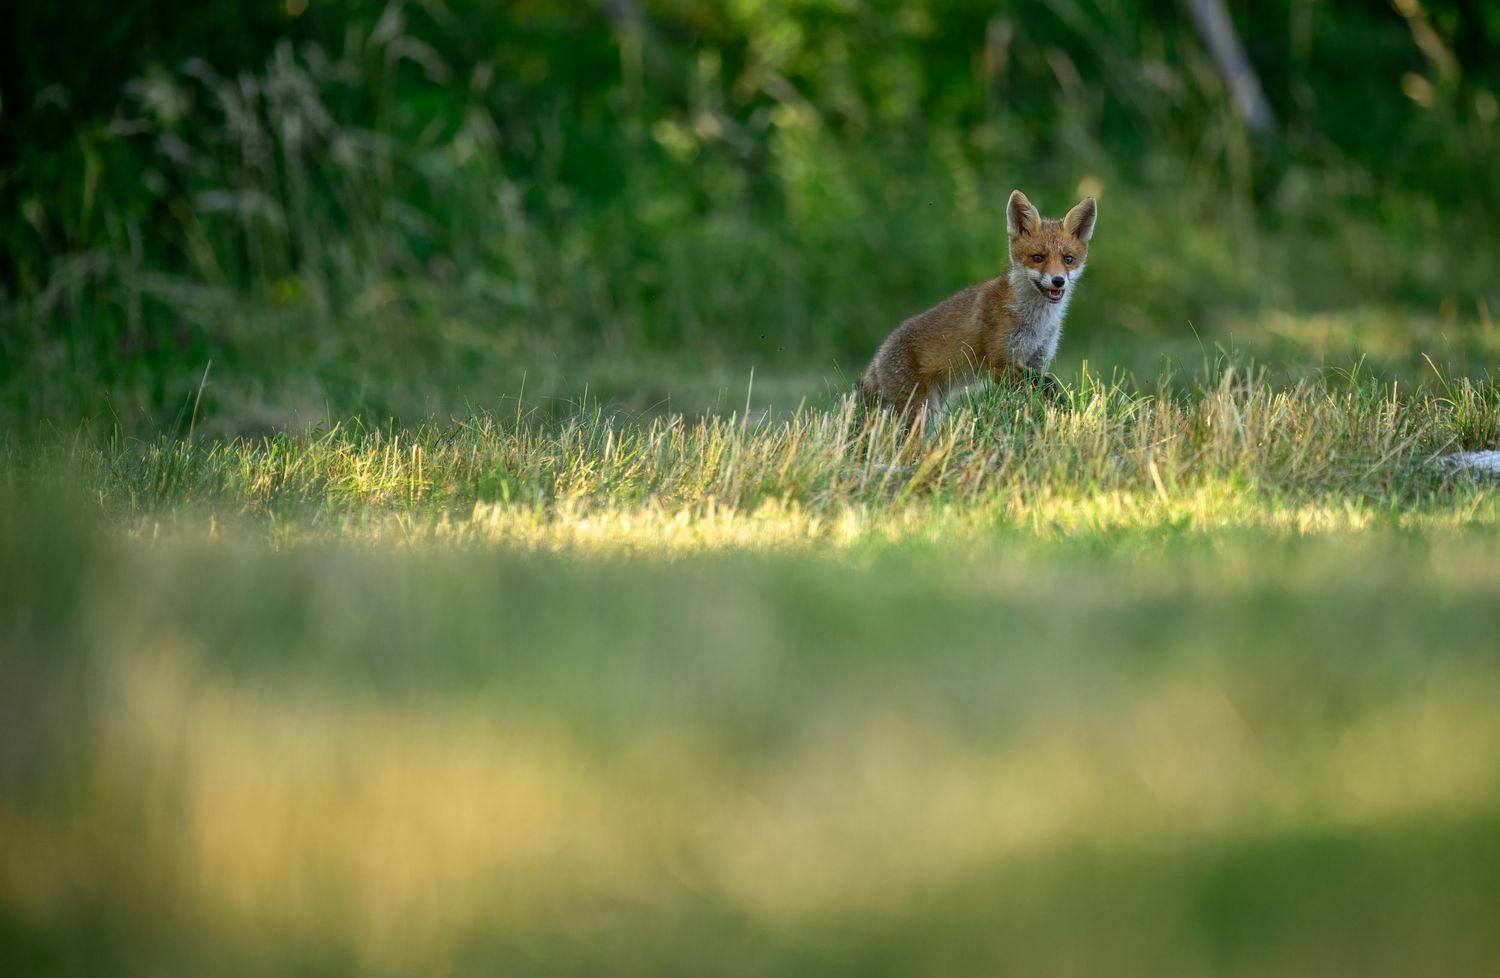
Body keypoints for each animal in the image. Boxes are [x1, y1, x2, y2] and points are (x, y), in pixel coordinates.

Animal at [860, 190, 1097, 415]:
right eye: (1038, 258)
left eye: (1068, 259)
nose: (1058, 281)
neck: (1036, 322)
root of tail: (877, 357)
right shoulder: (999, 366)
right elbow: (1046, 383)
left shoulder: (1037, 359)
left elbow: (1042, 388)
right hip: (918, 410)